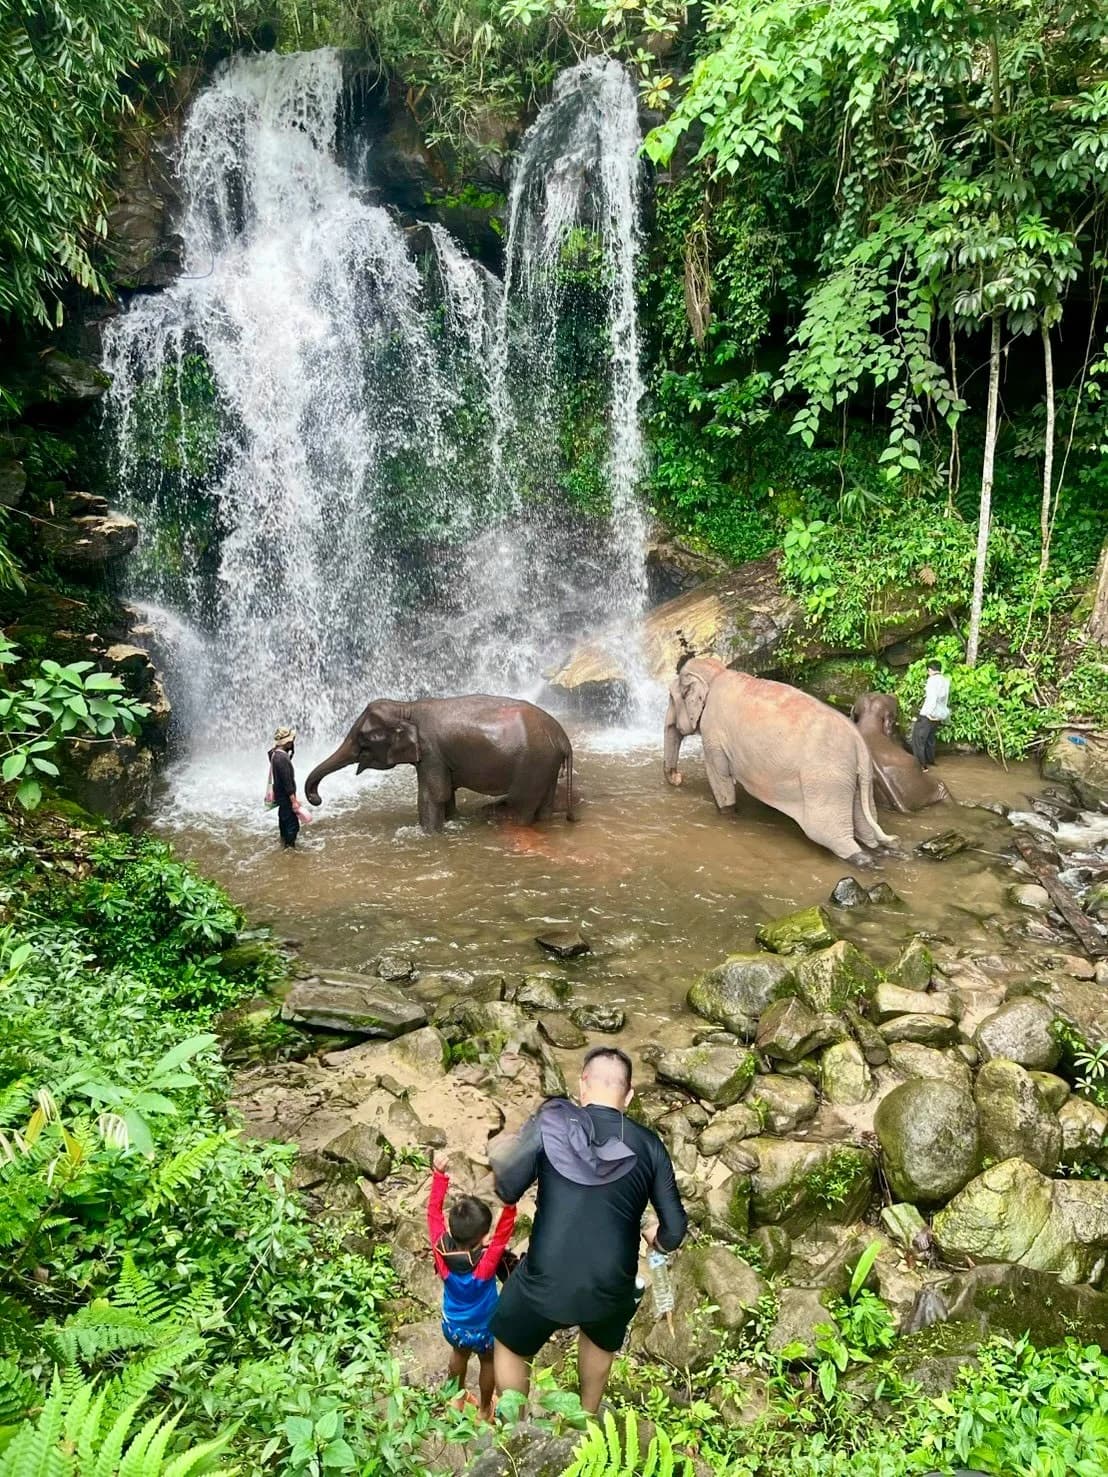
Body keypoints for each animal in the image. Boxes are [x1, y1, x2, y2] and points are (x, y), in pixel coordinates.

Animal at [304, 695, 575, 833]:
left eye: (363, 739)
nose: (316, 799)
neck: (407, 708)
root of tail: (563, 737)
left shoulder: (431, 751)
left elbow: (432, 795)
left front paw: (429, 834)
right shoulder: (440, 756)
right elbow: (446, 793)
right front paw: (452, 821)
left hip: (533, 765)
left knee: (522, 806)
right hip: (546, 766)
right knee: (543, 806)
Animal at [664, 657, 898, 867]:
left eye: (670, 697)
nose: (678, 777)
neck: (717, 672)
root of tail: (860, 743)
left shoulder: (713, 734)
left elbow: (720, 776)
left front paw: (727, 815)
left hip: (827, 781)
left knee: (826, 832)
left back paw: (863, 859)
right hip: (857, 781)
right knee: (866, 825)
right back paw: (880, 851)